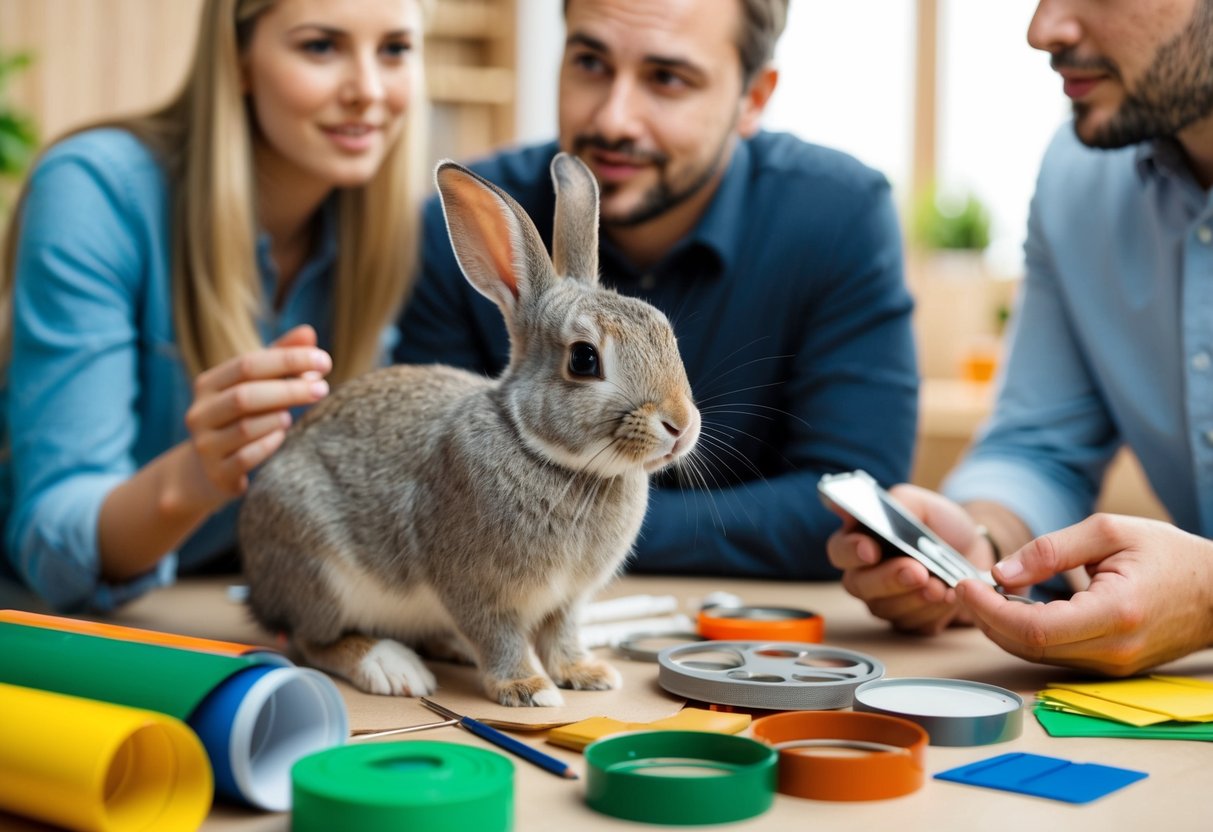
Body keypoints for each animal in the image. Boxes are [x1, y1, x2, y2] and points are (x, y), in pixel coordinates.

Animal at [237, 153, 703, 708]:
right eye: (584, 359)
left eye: (666, 332)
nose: (681, 425)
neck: (546, 453)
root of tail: (259, 590)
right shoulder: (474, 588)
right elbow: (499, 636)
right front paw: (528, 689)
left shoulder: (568, 600)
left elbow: (562, 635)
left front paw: (587, 674)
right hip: (321, 573)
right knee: (311, 641)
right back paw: (392, 667)